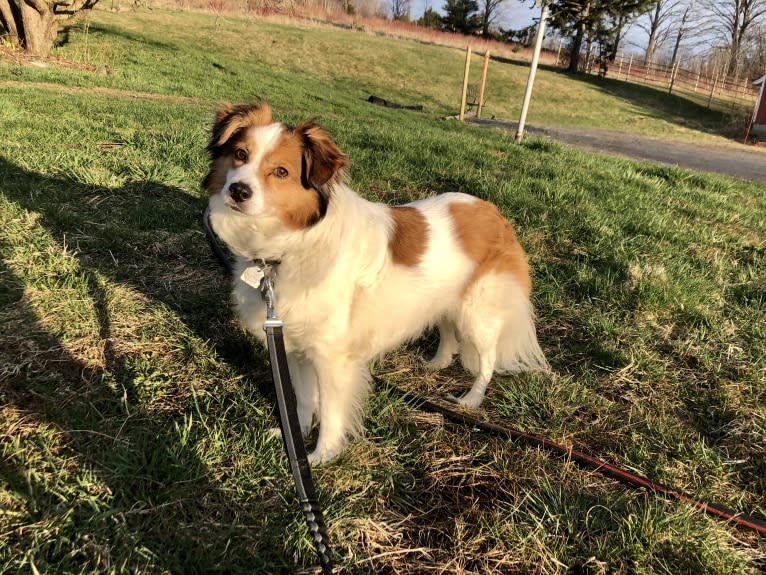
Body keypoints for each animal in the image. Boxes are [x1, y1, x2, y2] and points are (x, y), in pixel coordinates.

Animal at [207, 102, 548, 464]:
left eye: (281, 172)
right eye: (240, 154)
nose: (238, 190)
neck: (293, 243)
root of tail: (494, 212)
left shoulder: (333, 358)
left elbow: (331, 412)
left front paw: (320, 456)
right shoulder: (296, 346)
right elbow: (303, 399)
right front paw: (293, 439)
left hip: (477, 314)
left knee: (487, 360)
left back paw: (471, 399)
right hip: (442, 299)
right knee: (447, 330)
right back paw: (437, 363)